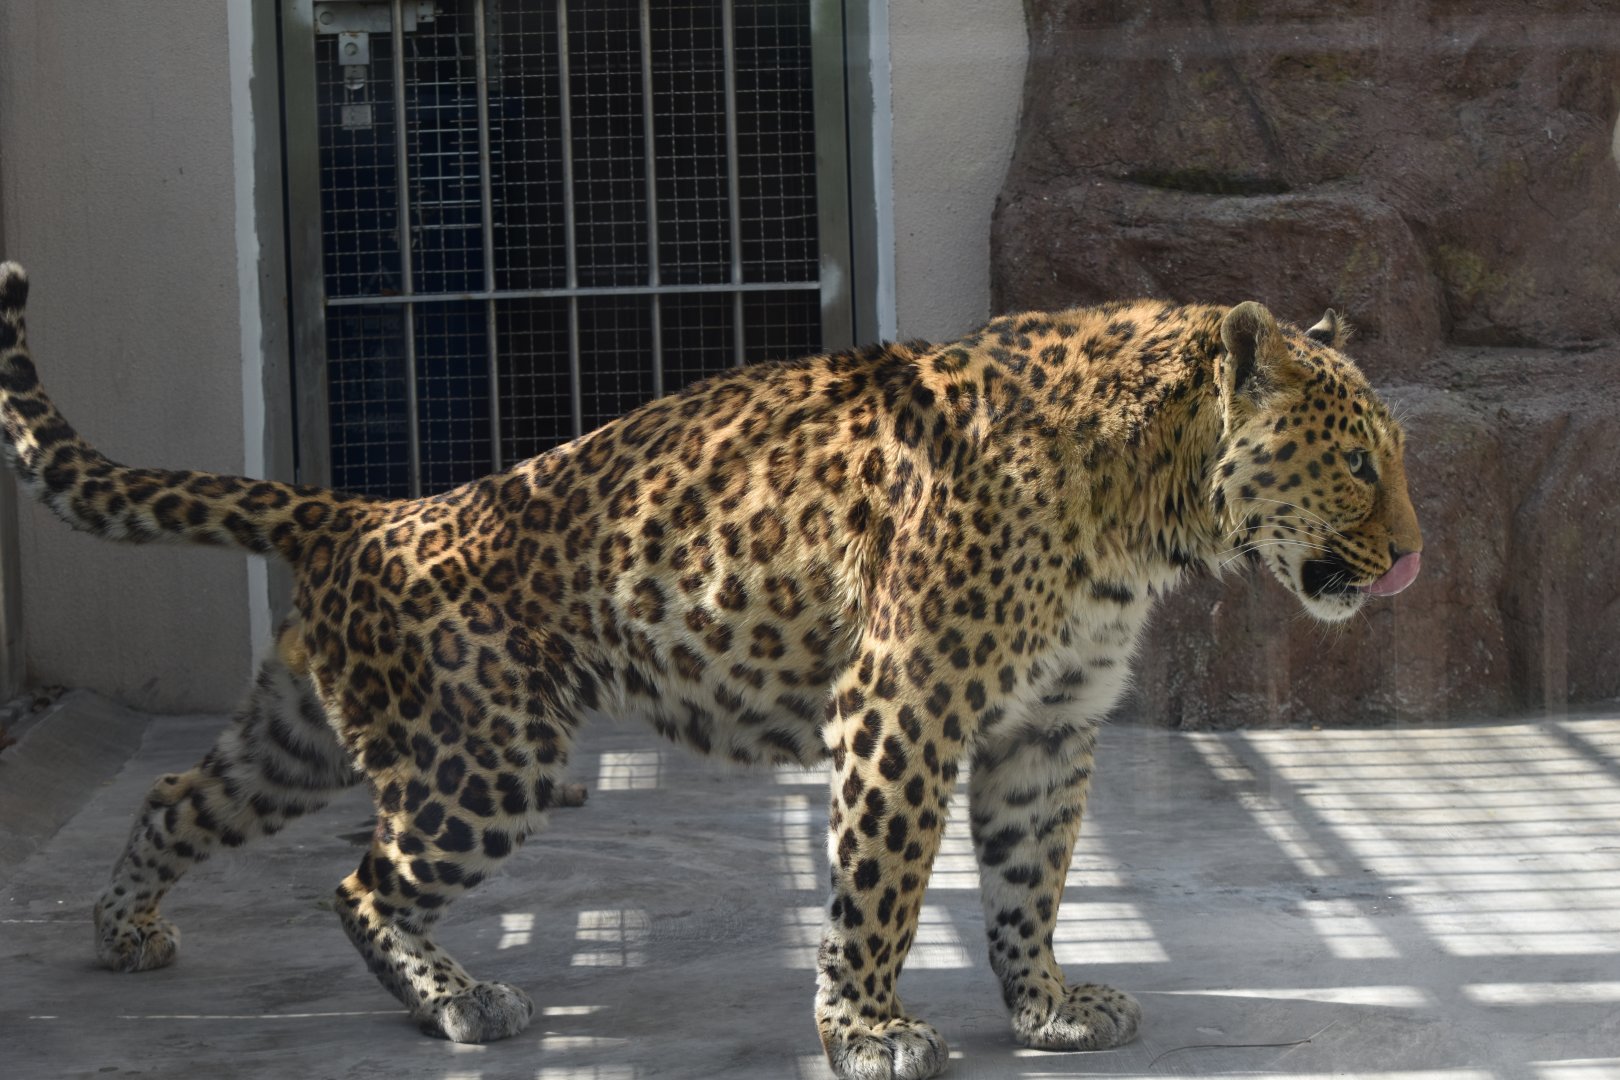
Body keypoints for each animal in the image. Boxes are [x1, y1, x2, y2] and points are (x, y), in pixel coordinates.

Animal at [0, 259, 1420, 1079]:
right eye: (1357, 462)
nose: (1412, 554)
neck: (1145, 507)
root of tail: (364, 515)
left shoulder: (1048, 727)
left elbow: (1032, 883)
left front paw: (1049, 1009)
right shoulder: (900, 707)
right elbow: (880, 889)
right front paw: (867, 1032)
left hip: (307, 732)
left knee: (180, 797)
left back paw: (125, 930)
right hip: (486, 757)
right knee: (358, 884)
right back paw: (459, 1002)